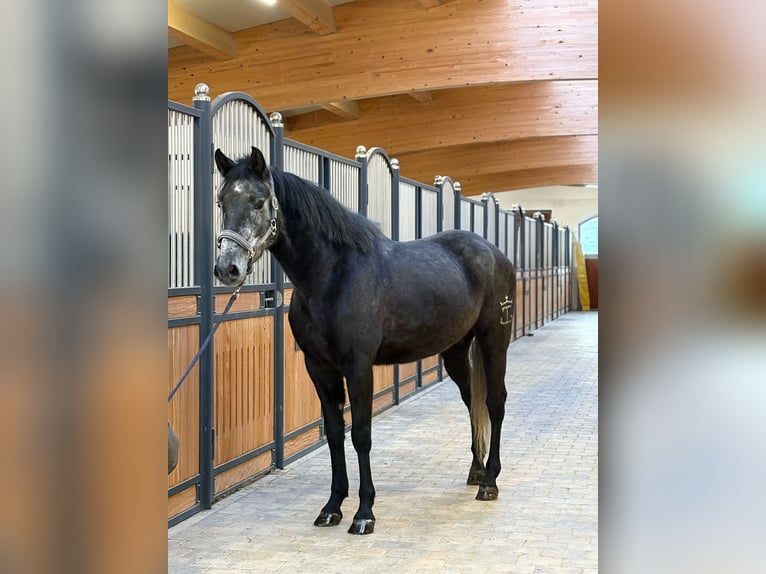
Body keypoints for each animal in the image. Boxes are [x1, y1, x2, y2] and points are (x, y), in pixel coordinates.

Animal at [213, 147, 516, 535]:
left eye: (259, 201)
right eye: (222, 201)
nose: (227, 269)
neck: (332, 276)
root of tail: (492, 252)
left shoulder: (358, 367)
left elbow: (361, 433)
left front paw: (364, 513)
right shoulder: (319, 367)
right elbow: (335, 433)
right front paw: (332, 507)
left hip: (495, 340)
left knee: (495, 402)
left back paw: (490, 482)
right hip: (456, 351)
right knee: (471, 400)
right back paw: (476, 471)